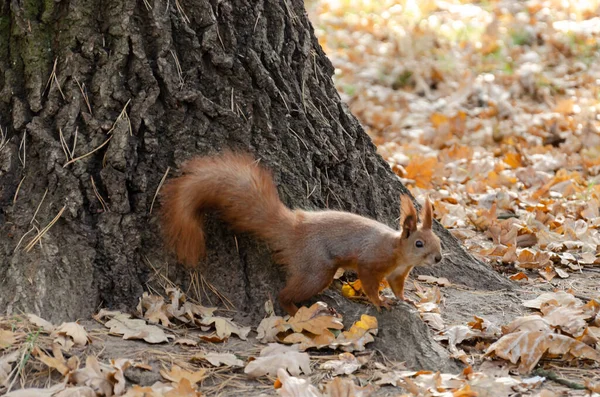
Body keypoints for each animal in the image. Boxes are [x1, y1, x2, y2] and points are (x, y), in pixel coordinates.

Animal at [159, 150, 440, 314]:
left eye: (438, 241)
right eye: (419, 243)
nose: (438, 258)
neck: (398, 252)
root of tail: (295, 228)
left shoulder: (398, 273)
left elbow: (397, 287)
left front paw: (405, 299)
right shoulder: (372, 262)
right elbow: (370, 283)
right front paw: (380, 302)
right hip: (316, 269)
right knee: (285, 293)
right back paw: (295, 311)